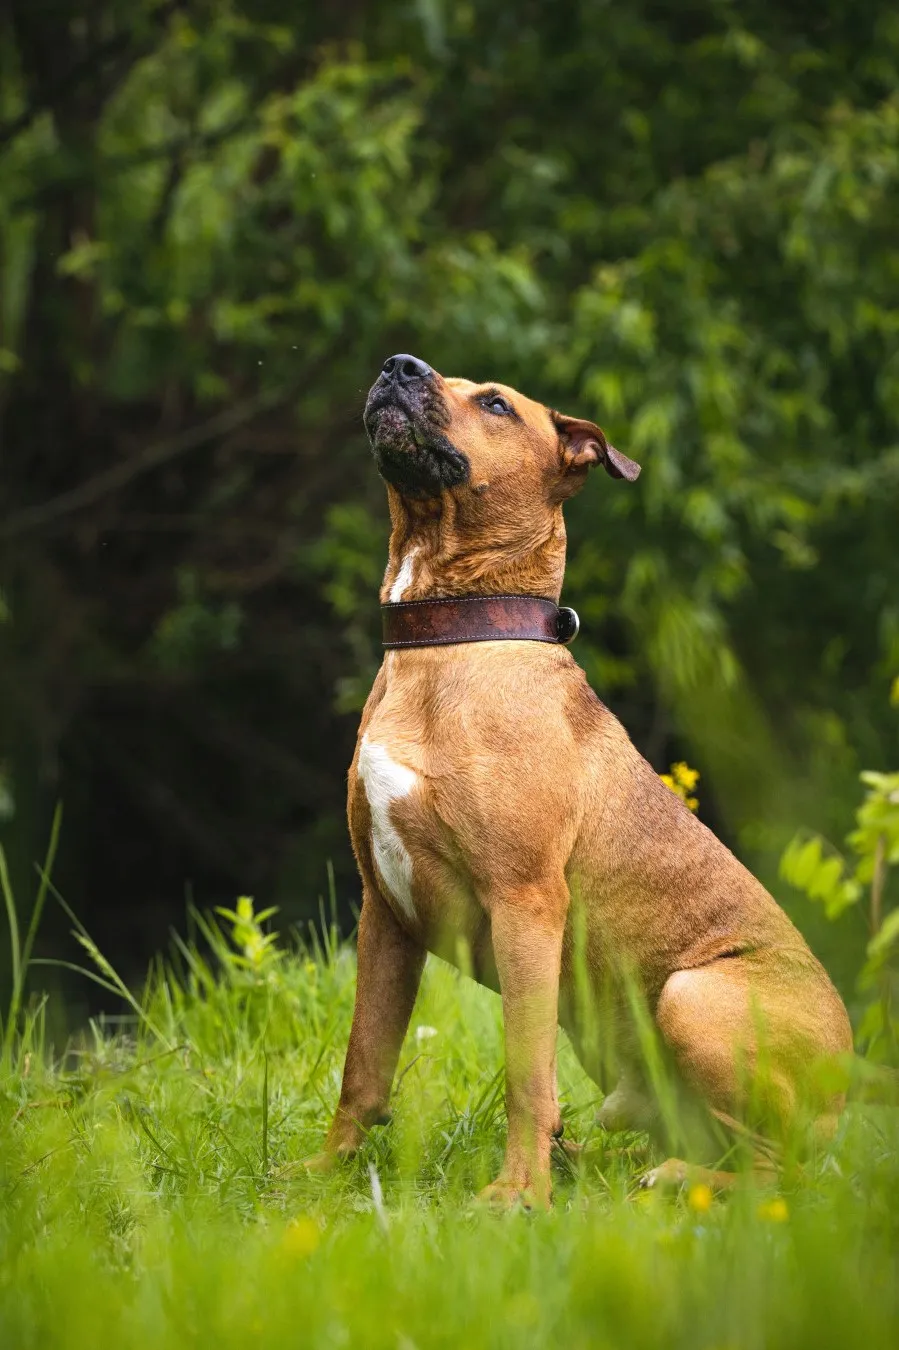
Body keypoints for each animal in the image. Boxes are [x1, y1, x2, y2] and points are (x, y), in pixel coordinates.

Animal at [305, 353, 853, 1209]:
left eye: (496, 404)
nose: (398, 365)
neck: (451, 637)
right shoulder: (383, 912)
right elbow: (364, 1065)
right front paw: (327, 1172)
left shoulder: (524, 902)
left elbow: (527, 1073)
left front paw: (517, 1195)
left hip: (692, 995)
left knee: (777, 1170)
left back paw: (672, 1179)